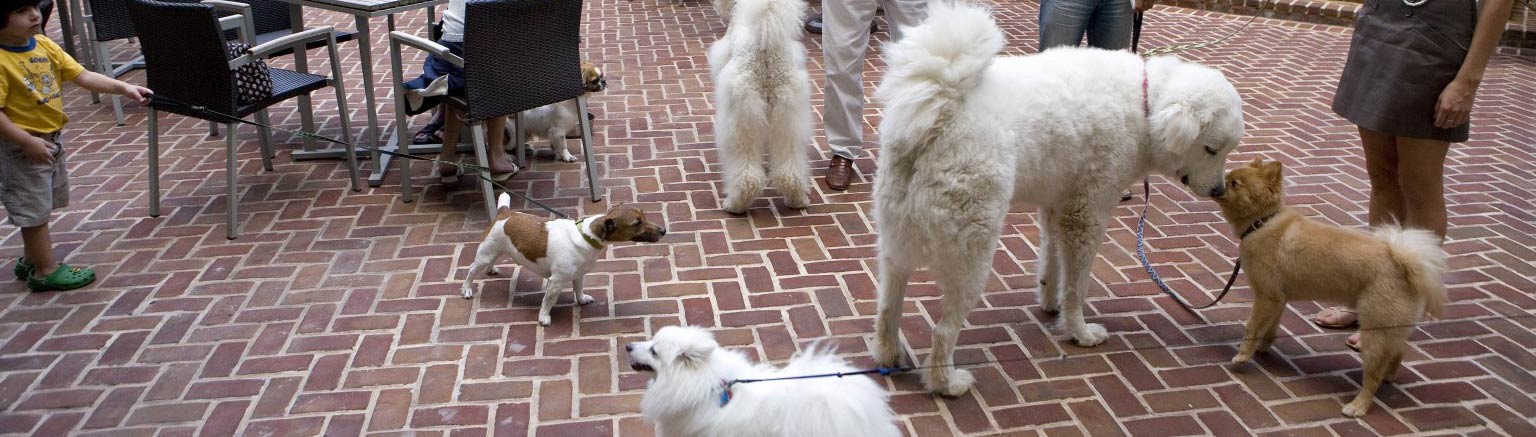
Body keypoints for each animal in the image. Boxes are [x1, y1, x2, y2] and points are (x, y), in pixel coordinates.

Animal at [460, 193, 666, 323]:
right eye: (637, 223)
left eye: (644, 216)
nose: (664, 230)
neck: (586, 236)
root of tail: (505, 212)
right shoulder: (556, 282)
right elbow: (548, 302)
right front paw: (543, 318)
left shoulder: (579, 274)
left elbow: (579, 289)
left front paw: (581, 300)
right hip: (484, 253)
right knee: (471, 270)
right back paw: (467, 289)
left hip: (494, 250)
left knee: (491, 261)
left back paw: (491, 269)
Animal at [706, 0, 817, 213]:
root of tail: (766, 51)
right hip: (788, 115)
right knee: (790, 169)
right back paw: (797, 200)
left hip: (741, 119)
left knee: (747, 175)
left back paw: (734, 205)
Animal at [872, 3, 1241, 395]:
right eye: (1211, 149)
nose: (1219, 191)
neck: (1145, 106)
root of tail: (940, 108)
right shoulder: (1087, 216)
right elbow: (1078, 286)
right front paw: (1079, 331)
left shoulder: (1056, 208)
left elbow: (1051, 263)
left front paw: (1050, 303)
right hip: (971, 253)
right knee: (942, 331)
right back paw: (948, 383)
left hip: (896, 240)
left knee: (888, 308)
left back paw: (889, 356)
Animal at [1210, 157, 1449, 417]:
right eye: (1227, 176)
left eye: (1234, 183)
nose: (1215, 186)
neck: (1262, 223)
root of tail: (1403, 261)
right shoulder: (1278, 299)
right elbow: (1271, 326)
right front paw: (1263, 348)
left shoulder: (1266, 296)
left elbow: (1251, 327)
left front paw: (1243, 356)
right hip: (1392, 329)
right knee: (1397, 353)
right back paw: (1388, 377)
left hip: (1374, 331)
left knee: (1372, 376)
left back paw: (1358, 406)